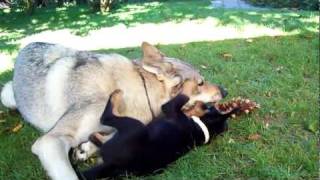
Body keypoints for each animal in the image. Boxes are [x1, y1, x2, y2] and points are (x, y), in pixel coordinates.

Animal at [83, 88, 235, 179]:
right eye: (209, 106)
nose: (204, 104)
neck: (201, 128)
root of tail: (115, 165)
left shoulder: (169, 108)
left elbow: (184, 95)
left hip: (136, 126)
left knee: (105, 118)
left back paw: (115, 95)